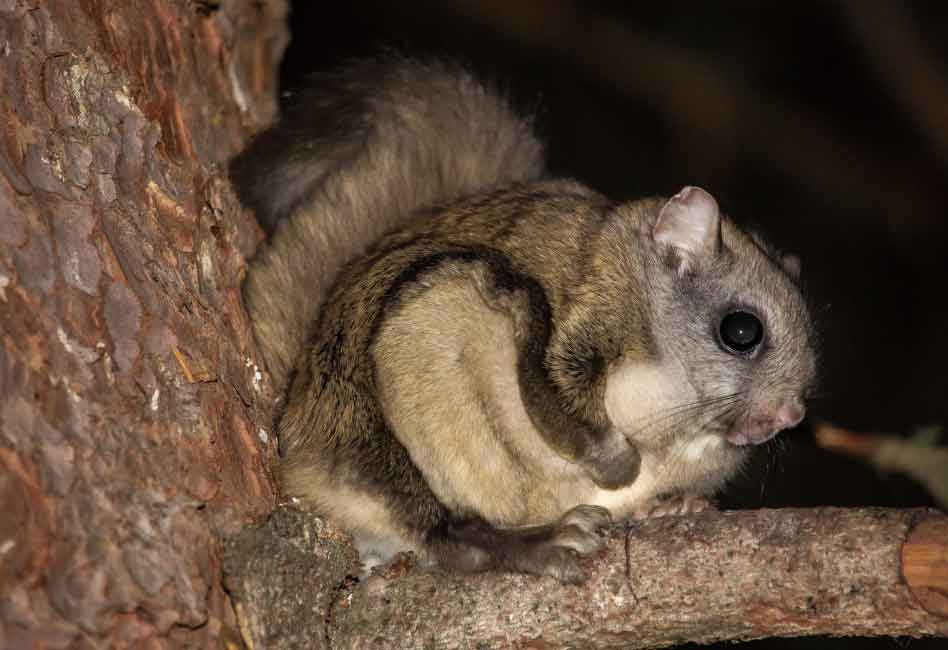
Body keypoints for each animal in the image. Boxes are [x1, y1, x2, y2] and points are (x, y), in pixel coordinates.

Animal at [230, 57, 817, 583]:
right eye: (740, 331)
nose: (788, 416)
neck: (679, 417)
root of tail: (297, 435)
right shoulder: (584, 312)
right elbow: (553, 393)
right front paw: (616, 463)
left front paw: (680, 505)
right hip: (413, 381)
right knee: (443, 536)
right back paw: (522, 543)